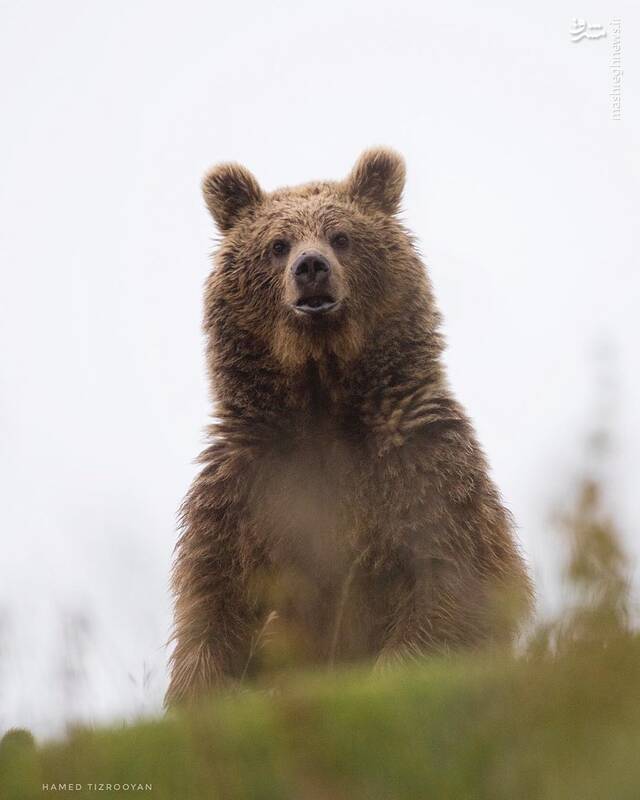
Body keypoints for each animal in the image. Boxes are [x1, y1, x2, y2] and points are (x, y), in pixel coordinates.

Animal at [164, 150, 528, 708]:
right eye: (278, 244)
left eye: (341, 236)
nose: (310, 268)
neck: (322, 395)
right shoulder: (242, 495)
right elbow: (214, 615)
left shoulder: (422, 470)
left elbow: (443, 593)